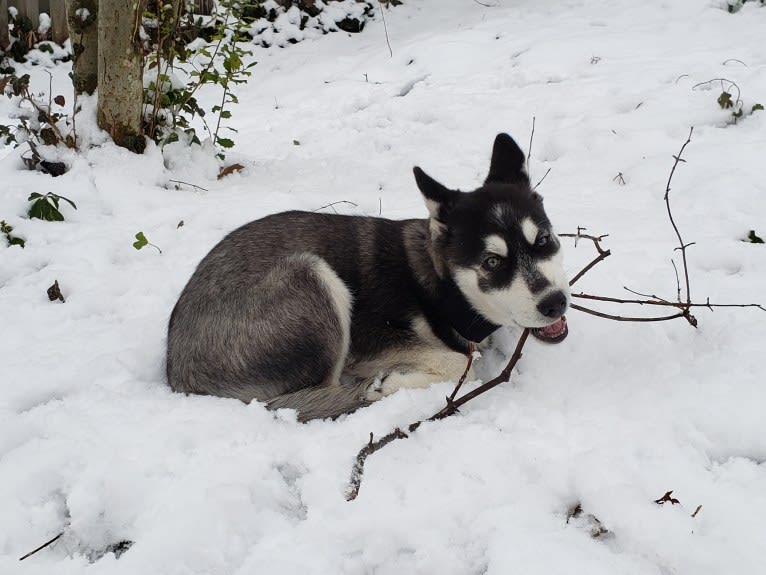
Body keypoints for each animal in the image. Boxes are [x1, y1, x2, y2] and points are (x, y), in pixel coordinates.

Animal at [168, 133, 568, 420]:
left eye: (543, 240)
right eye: (492, 262)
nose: (555, 303)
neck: (441, 288)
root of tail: (178, 371)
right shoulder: (370, 343)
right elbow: (463, 364)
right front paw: (390, 383)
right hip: (312, 278)